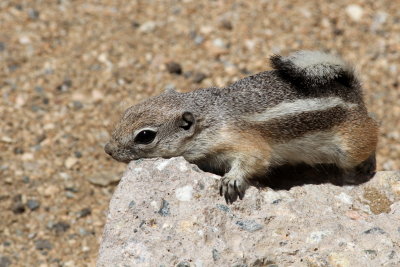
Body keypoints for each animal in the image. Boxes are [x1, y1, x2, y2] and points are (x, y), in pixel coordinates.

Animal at [104, 51, 378, 204]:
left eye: (145, 136)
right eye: (126, 112)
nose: (108, 149)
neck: (210, 116)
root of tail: (353, 94)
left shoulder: (240, 139)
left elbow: (255, 158)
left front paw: (231, 179)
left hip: (351, 145)